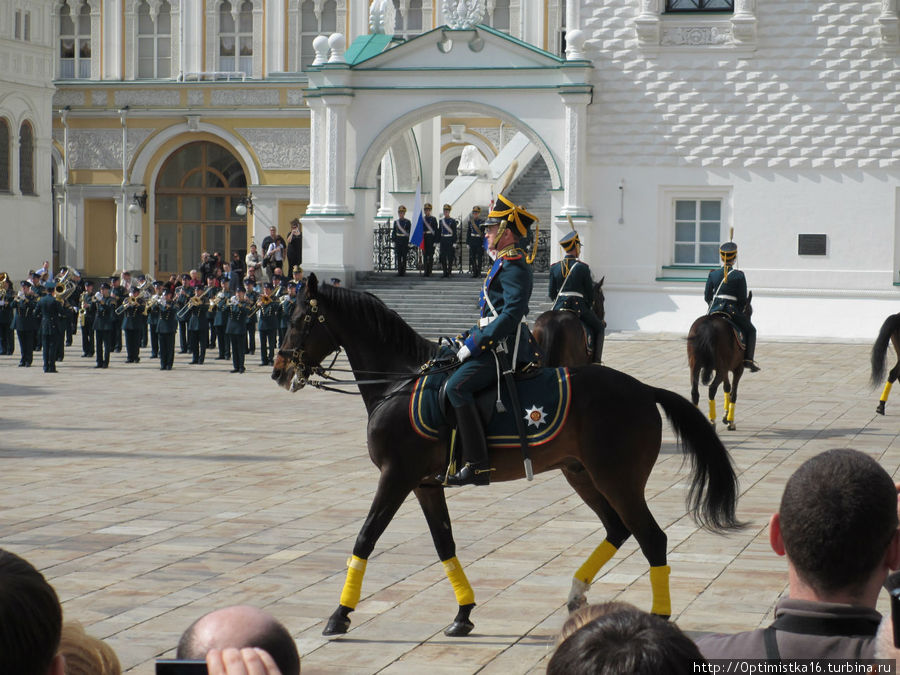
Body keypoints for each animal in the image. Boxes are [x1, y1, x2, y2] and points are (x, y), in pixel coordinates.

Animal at [270, 274, 740, 640]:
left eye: (298, 319)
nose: (278, 371)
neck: (399, 381)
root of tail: (643, 389)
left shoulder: (396, 476)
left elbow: (365, 538)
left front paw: (339, 615)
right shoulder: (424, 484)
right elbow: (444, 544)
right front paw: (463, 614)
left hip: (617, 480)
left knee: (652, 538)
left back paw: (658, 616)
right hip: (582, 475)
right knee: (618, 529)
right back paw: (577, 593)